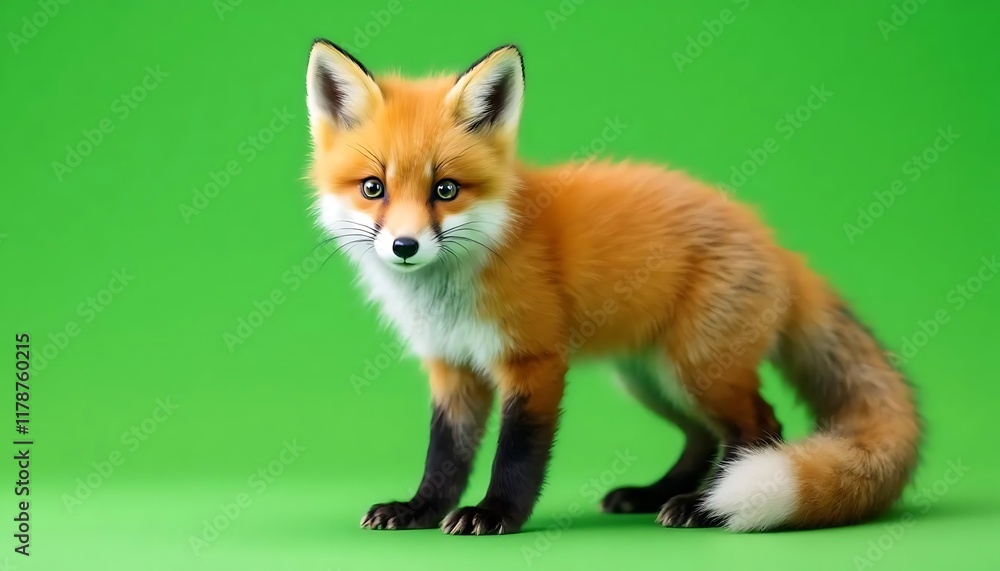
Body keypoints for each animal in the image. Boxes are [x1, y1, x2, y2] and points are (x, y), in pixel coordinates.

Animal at [304, 40, 921, 535]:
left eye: (446, 189)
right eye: (374, 187)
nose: (404, 246)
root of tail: (777, 245)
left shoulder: (535, 361)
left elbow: (517, 454)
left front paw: (496, 514)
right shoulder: (452, 367)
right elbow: (444, 457)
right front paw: (419, 510)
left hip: (697, 368)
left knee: (761, 428)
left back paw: (703, 507)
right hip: (651, 377)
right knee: (702, 438)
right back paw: (658, 494)